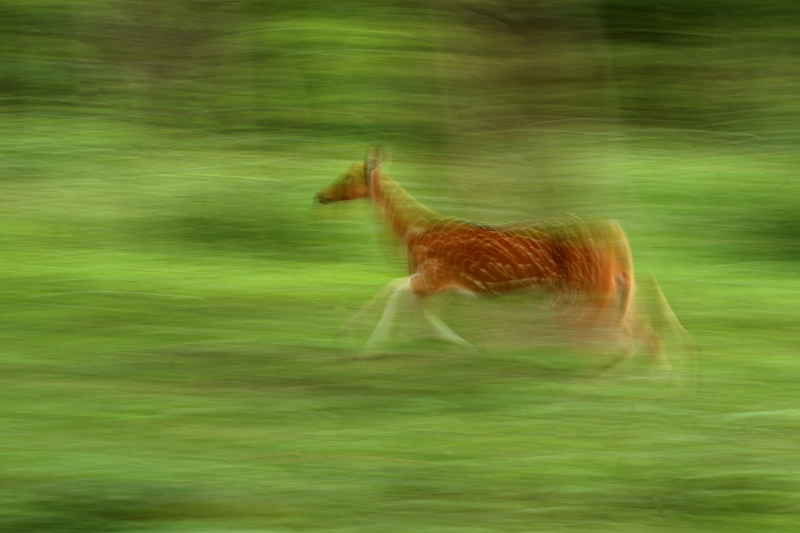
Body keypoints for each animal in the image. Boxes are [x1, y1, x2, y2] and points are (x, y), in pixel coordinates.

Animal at [316, 145, 692, 370]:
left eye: (347, 176)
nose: (320, 195)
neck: (411, 234)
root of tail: (615, 231)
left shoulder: (435, 272)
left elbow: (393, 289)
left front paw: (364, 344)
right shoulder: (436, 282)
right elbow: (416, 305)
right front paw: (457, 343)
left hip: (590, 283)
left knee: (626, 320)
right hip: (606, 280)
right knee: (639, 309)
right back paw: (664, 372)